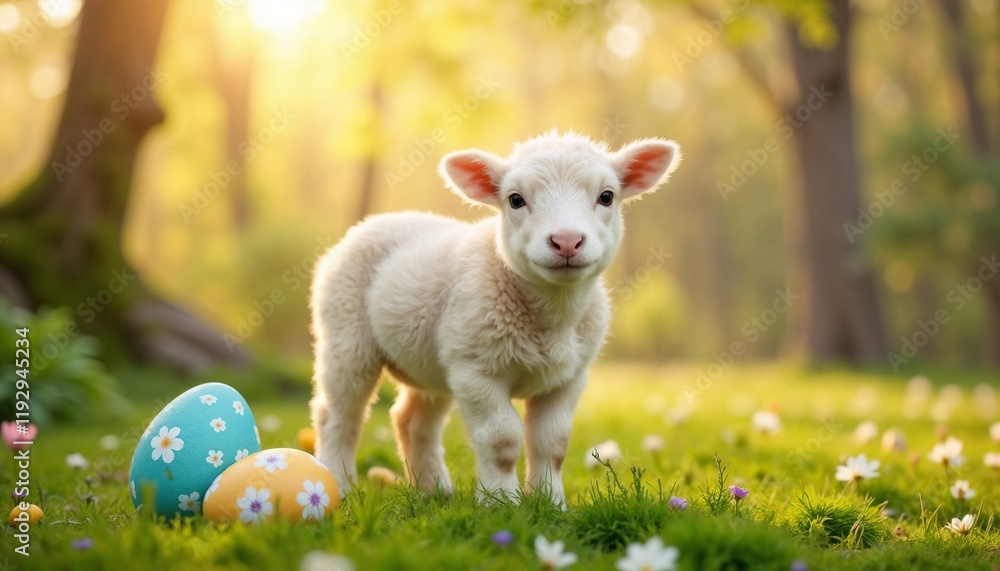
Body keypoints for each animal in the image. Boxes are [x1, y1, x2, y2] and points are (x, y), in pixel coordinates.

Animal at [310, 131, 681, 507]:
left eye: (607, 196)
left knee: (412, 421)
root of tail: (376, 220)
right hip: (346, 335)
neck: (551, 316)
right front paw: (501, 503)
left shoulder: (569, 378)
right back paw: (339, 482)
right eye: (515, 199)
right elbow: (502, 439)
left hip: (432, 361)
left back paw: (434, 490)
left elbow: (553, 442)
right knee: (338, 415)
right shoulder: (476, 370)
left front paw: (551, 503)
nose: (566, 241)